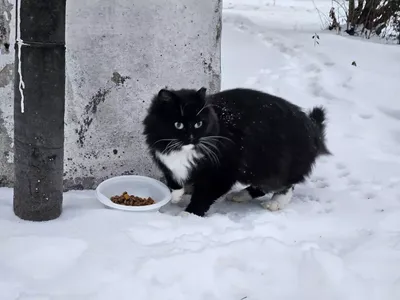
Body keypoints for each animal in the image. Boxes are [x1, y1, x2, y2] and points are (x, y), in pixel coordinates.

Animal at [142, 86, 330, 216]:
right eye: (178, 125)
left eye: (198, 124)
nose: (191, 138)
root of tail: (311, 128)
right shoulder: (165, 162)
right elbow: (174, 179)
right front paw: (176, 195)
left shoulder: (222, 172)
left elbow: (203, 196)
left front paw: (189, 215)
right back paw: (241, 195)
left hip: (272, 163)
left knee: (285, 184)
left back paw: (275, 203)